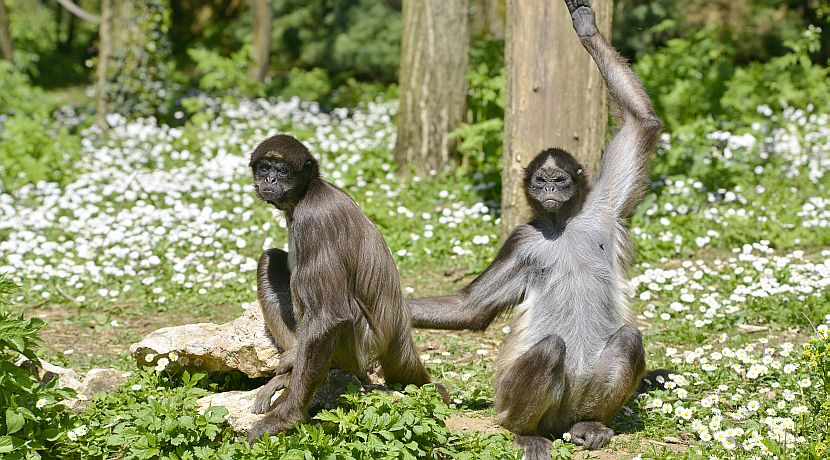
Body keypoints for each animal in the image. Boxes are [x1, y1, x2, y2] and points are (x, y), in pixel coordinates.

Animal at [246, 134, 445, 442]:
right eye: (265, 168)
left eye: (283, 171)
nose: (270, 180)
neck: (310, 191)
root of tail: (399, 333)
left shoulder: (315, 216)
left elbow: (328, 317)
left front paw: (285, 419)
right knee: (270, 259)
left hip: (359, 343)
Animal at [407, 0, 662, 456]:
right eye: (540, 182)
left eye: (560, 181)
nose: (549, 193)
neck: (562, 226)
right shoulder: (522, 239)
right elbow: (469, 309)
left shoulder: (600, 208)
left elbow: (641, 123)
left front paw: (586, 29)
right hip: (509, 397)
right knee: (549, 349)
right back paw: (525, 431)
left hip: (581, 395)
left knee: (629, 339)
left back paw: (589, 424)